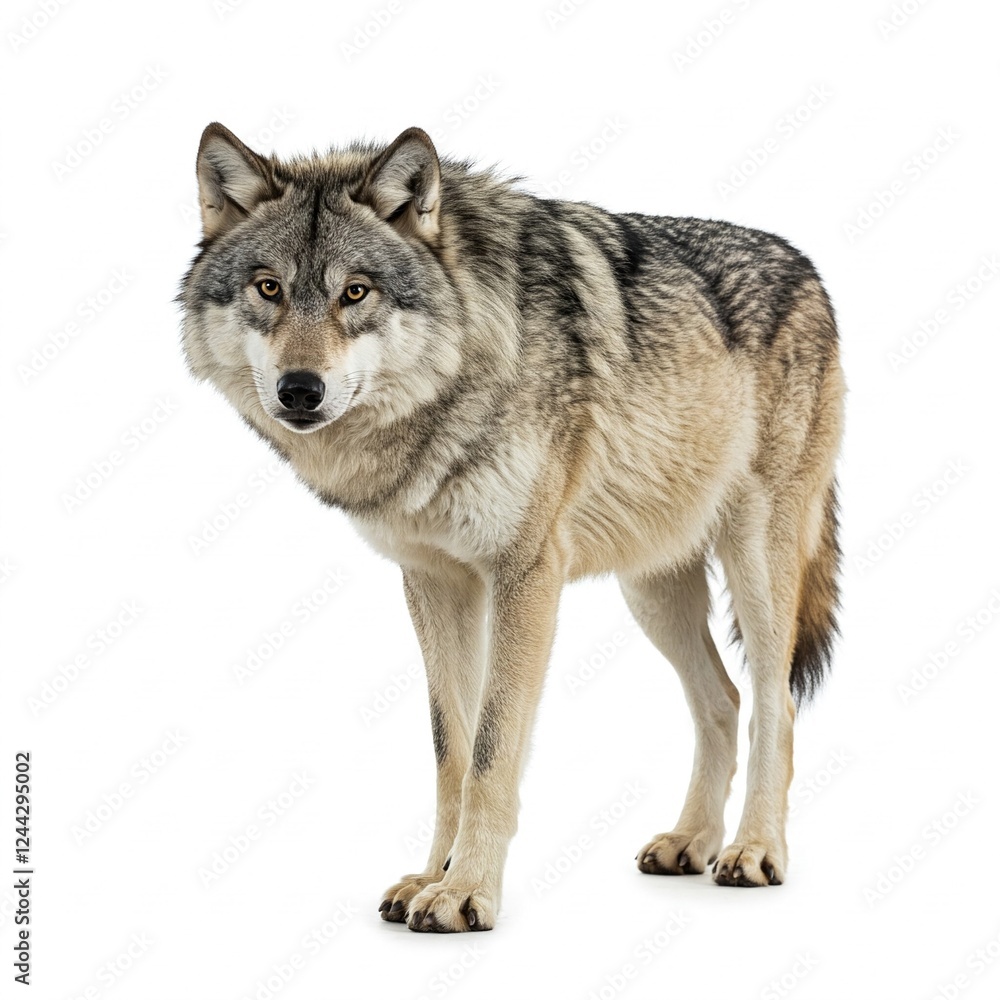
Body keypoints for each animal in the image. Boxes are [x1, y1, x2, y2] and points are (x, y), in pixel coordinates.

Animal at [179, 123, 844, 932]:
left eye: (355, 291)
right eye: (268, 287)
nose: (298, 390)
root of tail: (808, 267)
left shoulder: (525, 576)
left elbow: (493, 752)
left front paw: (466, 893)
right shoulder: (434, 581)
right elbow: (452, 750)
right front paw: (432, 876)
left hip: (755, 563)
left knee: (775, 702)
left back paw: (754, 850)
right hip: (651, 590)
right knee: (723, 700)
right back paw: (690, 841)